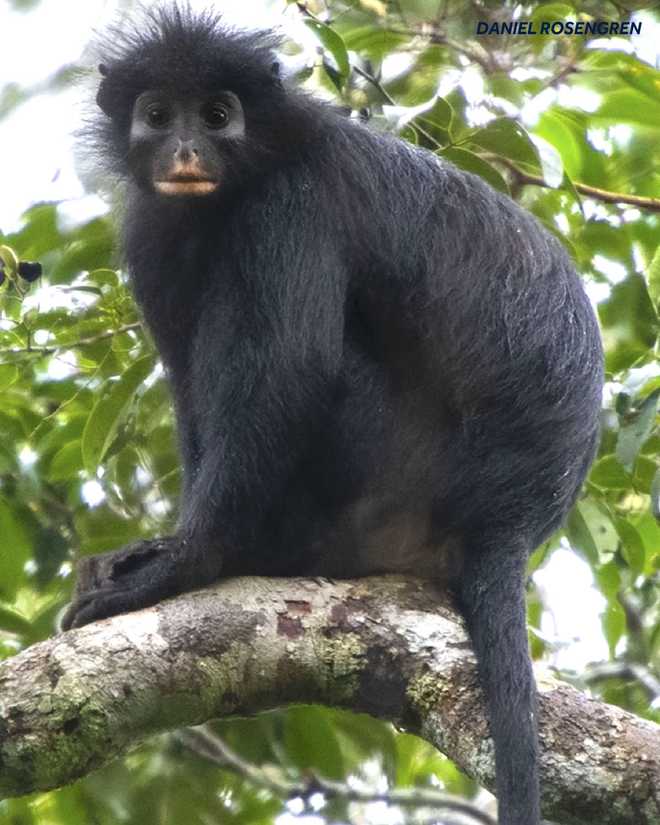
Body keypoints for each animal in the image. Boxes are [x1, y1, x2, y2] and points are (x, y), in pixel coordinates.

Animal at [61, 7, 604, 824]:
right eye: (157, 115)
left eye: (216, 115)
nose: (186, 148)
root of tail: (509, 519)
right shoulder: (154, 232)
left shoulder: (292, 203)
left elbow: (291, 369)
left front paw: (188, 563)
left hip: (386, 474)